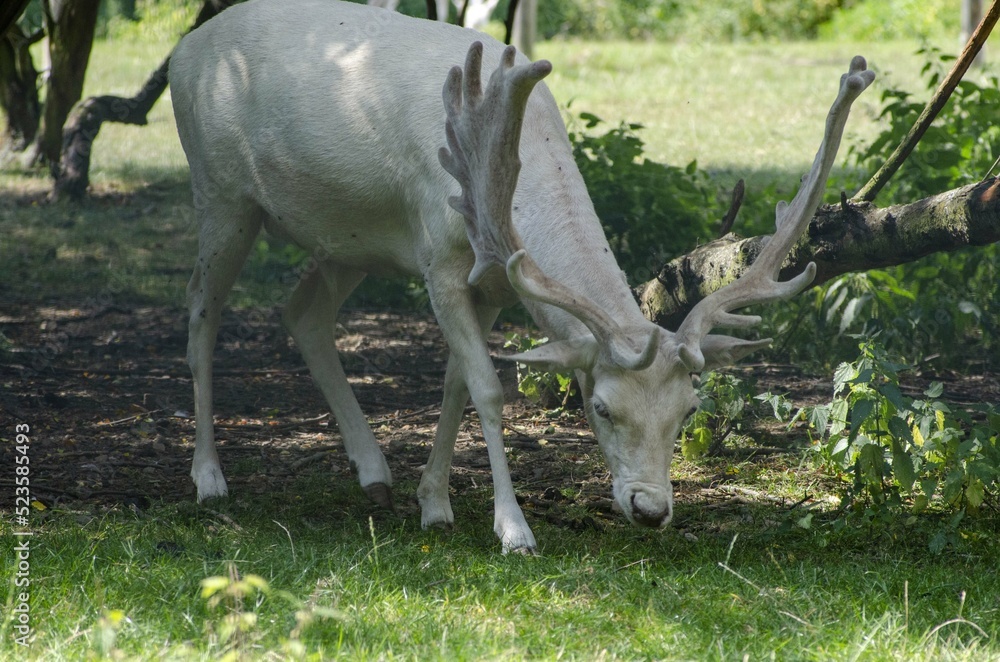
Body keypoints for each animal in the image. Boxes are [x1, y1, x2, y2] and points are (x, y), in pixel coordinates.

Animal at [169, 0, 874, 553]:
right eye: (601, 407)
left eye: (687, 410)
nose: (651, 511)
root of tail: (182, 51)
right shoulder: (440, 260)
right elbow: (487, 386)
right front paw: (513, 530)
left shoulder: (494, 283)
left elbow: (456, 382)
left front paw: (434, 504)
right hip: (220, 192)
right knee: (201, 312)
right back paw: (209, 478)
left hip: (348, 239)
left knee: (304, 312)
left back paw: (373, 473)